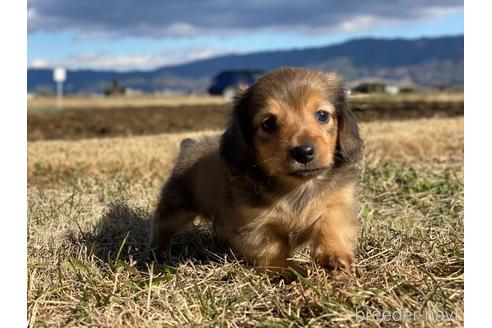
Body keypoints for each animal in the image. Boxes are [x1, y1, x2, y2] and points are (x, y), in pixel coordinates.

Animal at [152, 66, 364, 274]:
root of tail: (189, 145)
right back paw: (160, 254)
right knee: (162, 228)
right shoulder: (255, 225)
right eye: (268, 123)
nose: (304, 152)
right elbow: (274, 248)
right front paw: (289, 271)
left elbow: (332, 225)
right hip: (176, 208)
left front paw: (334, 255)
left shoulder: (337, 203)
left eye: (322, 115)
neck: (297, 188)